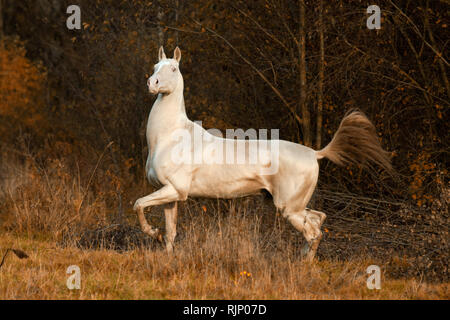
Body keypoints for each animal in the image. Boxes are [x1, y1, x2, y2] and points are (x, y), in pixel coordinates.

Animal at [134, 47, 390, 260]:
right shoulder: (171, 196)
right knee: (318, 220)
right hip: (295, 206)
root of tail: (314, 153)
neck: (170, 137)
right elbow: (170, 232)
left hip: (289, 208)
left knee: (313, 232)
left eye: (173, 68)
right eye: (155, 66)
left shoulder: (175, 190)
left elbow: (138, 204)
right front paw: (164, 249)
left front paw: (152, 232)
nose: (152, 83)